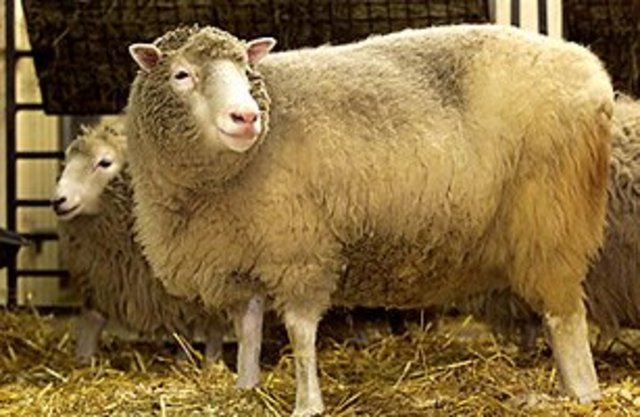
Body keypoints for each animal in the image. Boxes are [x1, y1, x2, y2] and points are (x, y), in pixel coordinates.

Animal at [52, 120, 227, 365]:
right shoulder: (99, 277)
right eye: (67, 161)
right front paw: (83, 360)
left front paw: (204, 364)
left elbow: (206, 331)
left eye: (105, 162)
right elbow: (91, 323)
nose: (58, 201)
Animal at [125, 24, 613, 416]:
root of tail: (593, 72)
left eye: (247, 71)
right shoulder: (240, 257)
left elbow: (300, 333)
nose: (246, 117)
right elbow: (248, 330)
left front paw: (308, 404)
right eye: (181, 74)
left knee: (565, 317)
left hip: (550, 218)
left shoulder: (302, 251)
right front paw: (245, 388)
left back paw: (579, 394)